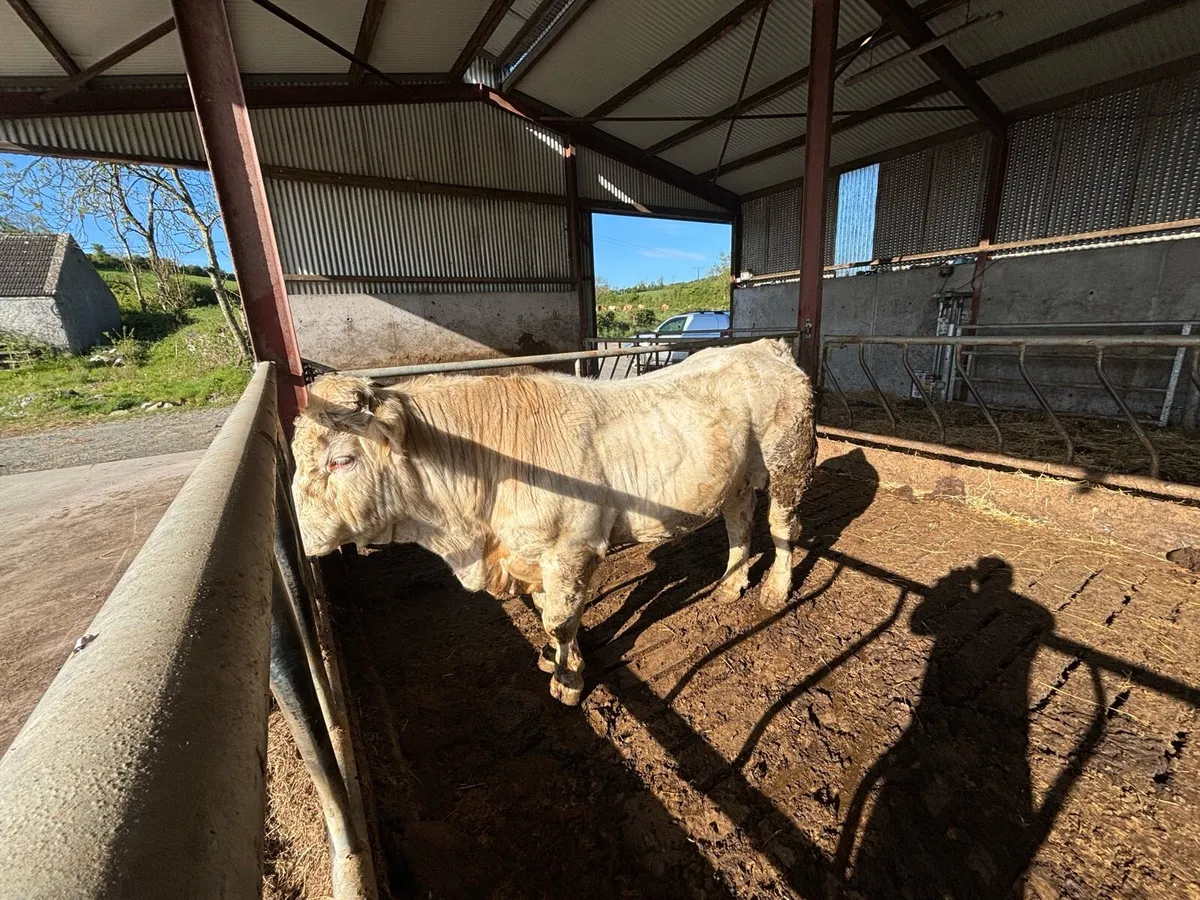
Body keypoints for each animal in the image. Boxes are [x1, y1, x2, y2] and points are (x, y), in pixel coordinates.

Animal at [291, 338, 817, 706]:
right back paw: (730, 583)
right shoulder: (535, 556)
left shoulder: (570, 549)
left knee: (782, 527)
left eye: (342, 460)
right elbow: (551, 612)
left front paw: (567, 680)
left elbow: (561, 619)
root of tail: (762, 346)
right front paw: (557, 659)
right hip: (736, 477)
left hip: (788, 459)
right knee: (739, 521)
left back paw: (774, 589)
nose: (301, 535)